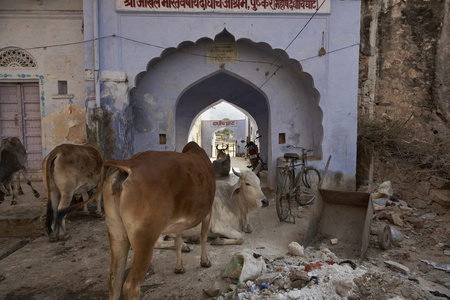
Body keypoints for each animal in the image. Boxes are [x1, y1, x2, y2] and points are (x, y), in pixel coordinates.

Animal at [57, 141, 215, 300]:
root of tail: (130, 164)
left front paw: (179, 267)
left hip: (115, 230)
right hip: (145, 236)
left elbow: (178, 241)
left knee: (114, 279)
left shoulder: (178, 223)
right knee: (130, 286)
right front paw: (205, 261)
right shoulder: (208, 211)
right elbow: (203, 237)